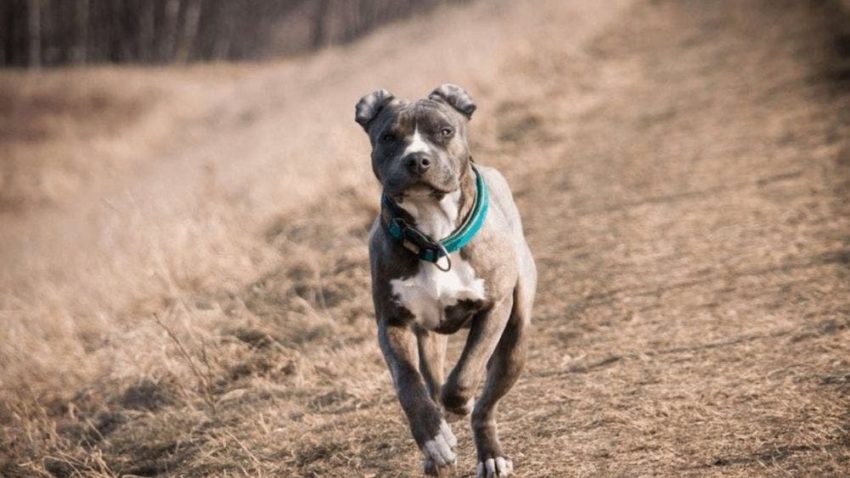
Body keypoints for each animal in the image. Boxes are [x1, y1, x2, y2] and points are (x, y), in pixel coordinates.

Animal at [355, 84, 536, 477]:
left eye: (444, 131)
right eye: (388, 137)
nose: (417, 160)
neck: (434, 234)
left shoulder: (495, 308)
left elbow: (465, 374)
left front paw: (459, 405)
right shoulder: (391, 323)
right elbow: (409, 385)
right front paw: (434, 439)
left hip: (515, 339)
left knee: (485, 406)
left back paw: (489, 454)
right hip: (429, 339)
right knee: (432, 380)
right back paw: (436, 450)